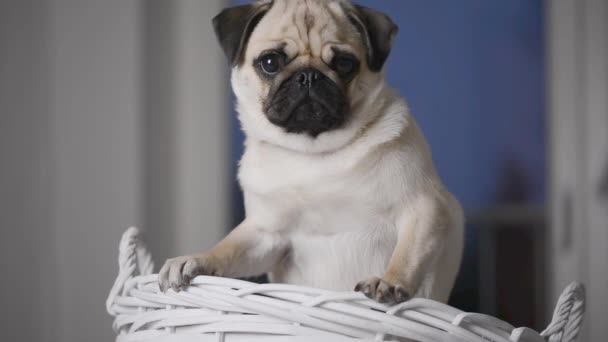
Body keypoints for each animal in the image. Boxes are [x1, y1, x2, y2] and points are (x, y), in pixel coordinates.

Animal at [159, 0, 464, 304]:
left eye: (345, 64)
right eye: (270, 62)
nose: (308, 76)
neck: (313, 151)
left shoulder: (422, 208)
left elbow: (406, 256)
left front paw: (388, 281)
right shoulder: (265, 234)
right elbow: (228, 248)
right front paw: (197, 259)